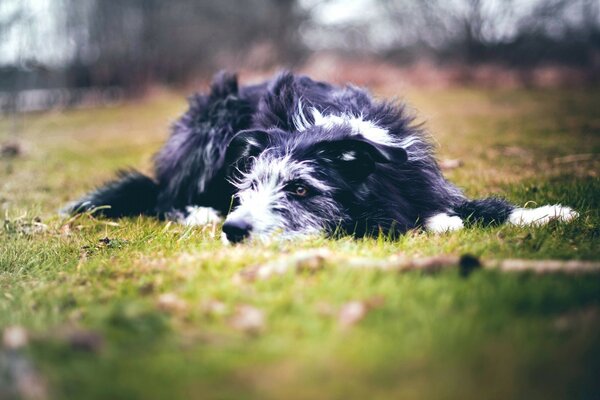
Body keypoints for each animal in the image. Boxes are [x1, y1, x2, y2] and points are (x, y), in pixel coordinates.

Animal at [63, 70, 580, 242]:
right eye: (252, 186)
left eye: (300, 189)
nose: (235, 228)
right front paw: (439, 223)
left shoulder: (418, 177)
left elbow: (477, 205)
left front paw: (546, 212)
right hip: (212, 119)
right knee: (165, 197)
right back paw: (198, 212)